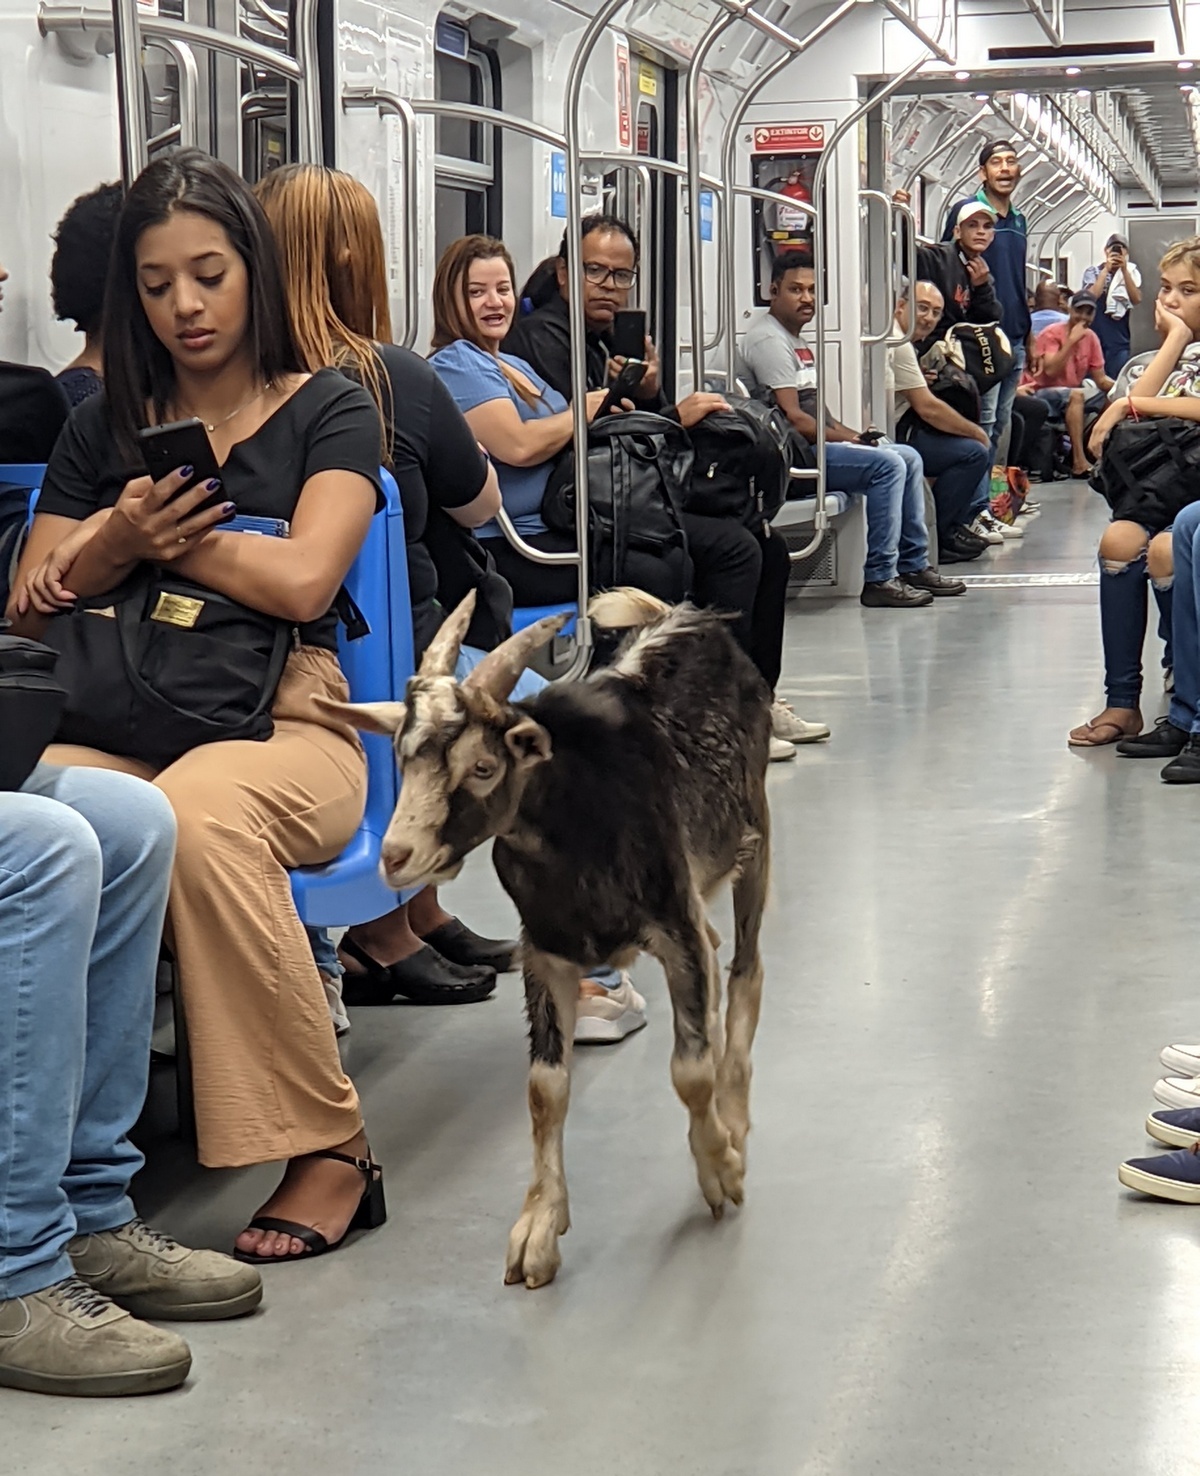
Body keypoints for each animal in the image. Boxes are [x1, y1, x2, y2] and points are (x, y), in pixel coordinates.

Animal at [318, 587, 767, 1281]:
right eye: (400, 757)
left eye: (482, 766)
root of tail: (685, 616)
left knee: (746, 968)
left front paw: (721, 1169)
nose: (394, 856)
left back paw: (735, 1113)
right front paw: (538, 1227)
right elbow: (544, 1089)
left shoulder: (674, 925)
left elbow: (689, 1071)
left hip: (753, 835)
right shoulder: (545, 950)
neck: (579, 818)